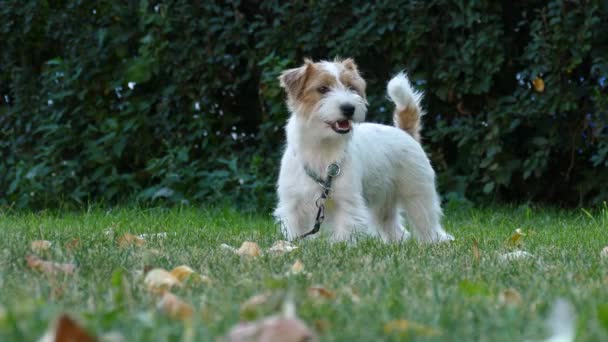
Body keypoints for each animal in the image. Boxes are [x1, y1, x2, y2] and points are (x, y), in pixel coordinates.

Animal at [274, 57, 454, 242]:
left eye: (351, 87)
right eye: (323, 89)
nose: (349, 108)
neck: (322, 146)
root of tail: (405, 133)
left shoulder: (347, 202)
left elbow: (345, 233)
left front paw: (341, 245)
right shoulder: (293, 205)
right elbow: (295, 232)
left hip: (418, 195)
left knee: (427, 223)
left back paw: (437, 241)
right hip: (385, 202)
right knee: (395, 228)